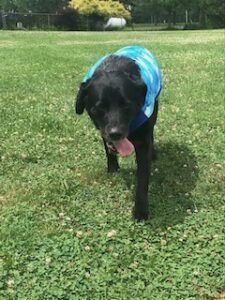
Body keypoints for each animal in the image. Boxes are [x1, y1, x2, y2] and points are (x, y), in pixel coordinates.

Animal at [75, 46, 162, 220]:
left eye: (126, 105)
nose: (115, 133)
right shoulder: (104, 132)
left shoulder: (143, 142)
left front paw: (140, 211)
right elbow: (108, 150)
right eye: (99, 108)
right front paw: (113, 169)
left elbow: (142, 179)